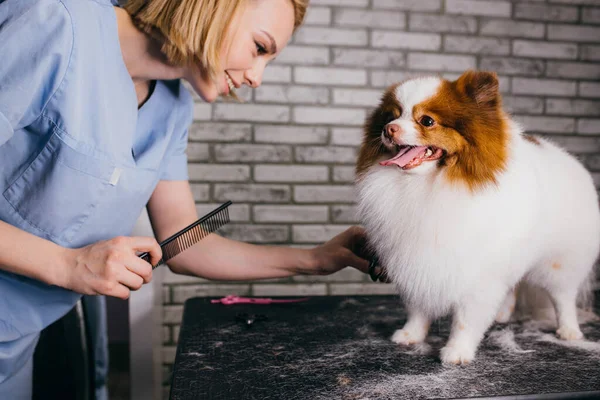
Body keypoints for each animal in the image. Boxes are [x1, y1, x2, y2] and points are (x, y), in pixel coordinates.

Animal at [356, 70, 600, 364]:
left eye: (427, 121)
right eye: (390, 116)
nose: (388, 129)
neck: (429, 185)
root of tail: (571, 161)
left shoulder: (477, 272)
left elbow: (466, 318)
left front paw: (457, 351)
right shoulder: (418, 260)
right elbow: (418, 306)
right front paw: (410, 334)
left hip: (560, 263)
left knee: (563, 297)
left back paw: (569, 330)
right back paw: (502, 314)